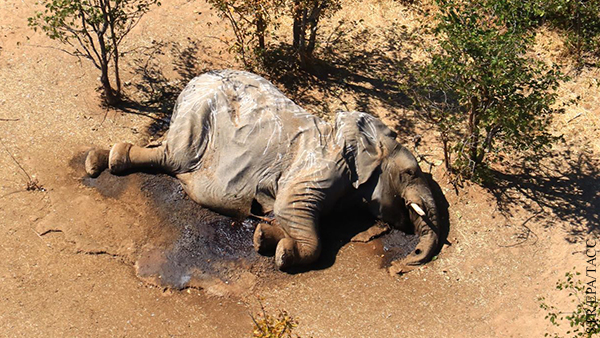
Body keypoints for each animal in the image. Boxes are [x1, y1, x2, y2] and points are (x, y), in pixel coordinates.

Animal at [84, 70, 442, 274]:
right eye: (410, 172)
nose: (403, 266)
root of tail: (192, 81)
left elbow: (284, 214)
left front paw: (263, 238)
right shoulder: (320, 167)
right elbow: (291, 210)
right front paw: (284, 254)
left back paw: (99, 160)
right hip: (197, 116)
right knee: (173, 158)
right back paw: (104, 161)